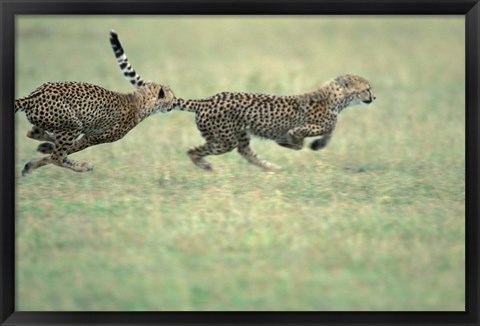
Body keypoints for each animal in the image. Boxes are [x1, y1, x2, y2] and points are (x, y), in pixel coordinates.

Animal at [15, 80, 175, 176]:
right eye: (172, 98)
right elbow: (71, 149)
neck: (141, 102)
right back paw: (83, 166)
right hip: (74, 125)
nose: (173, 105)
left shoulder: (89, 136)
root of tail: (33, 96)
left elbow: (65, 149)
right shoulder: (93, 138)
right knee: (57, 158)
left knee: (35, 135)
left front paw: (39, 154)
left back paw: (41, 140)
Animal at [109, 29, 376, 171]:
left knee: (247, 154)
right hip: (223, 140)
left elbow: (328, 132)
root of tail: (208, 99)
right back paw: (206, 166)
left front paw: (314, 145)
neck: (336, 99)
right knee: (194, 150)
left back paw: (271, 168)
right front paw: (296, 143)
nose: (374, 96)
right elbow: (308, 133)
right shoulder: (309, 125)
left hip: (239, 136)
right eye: (367, 88)